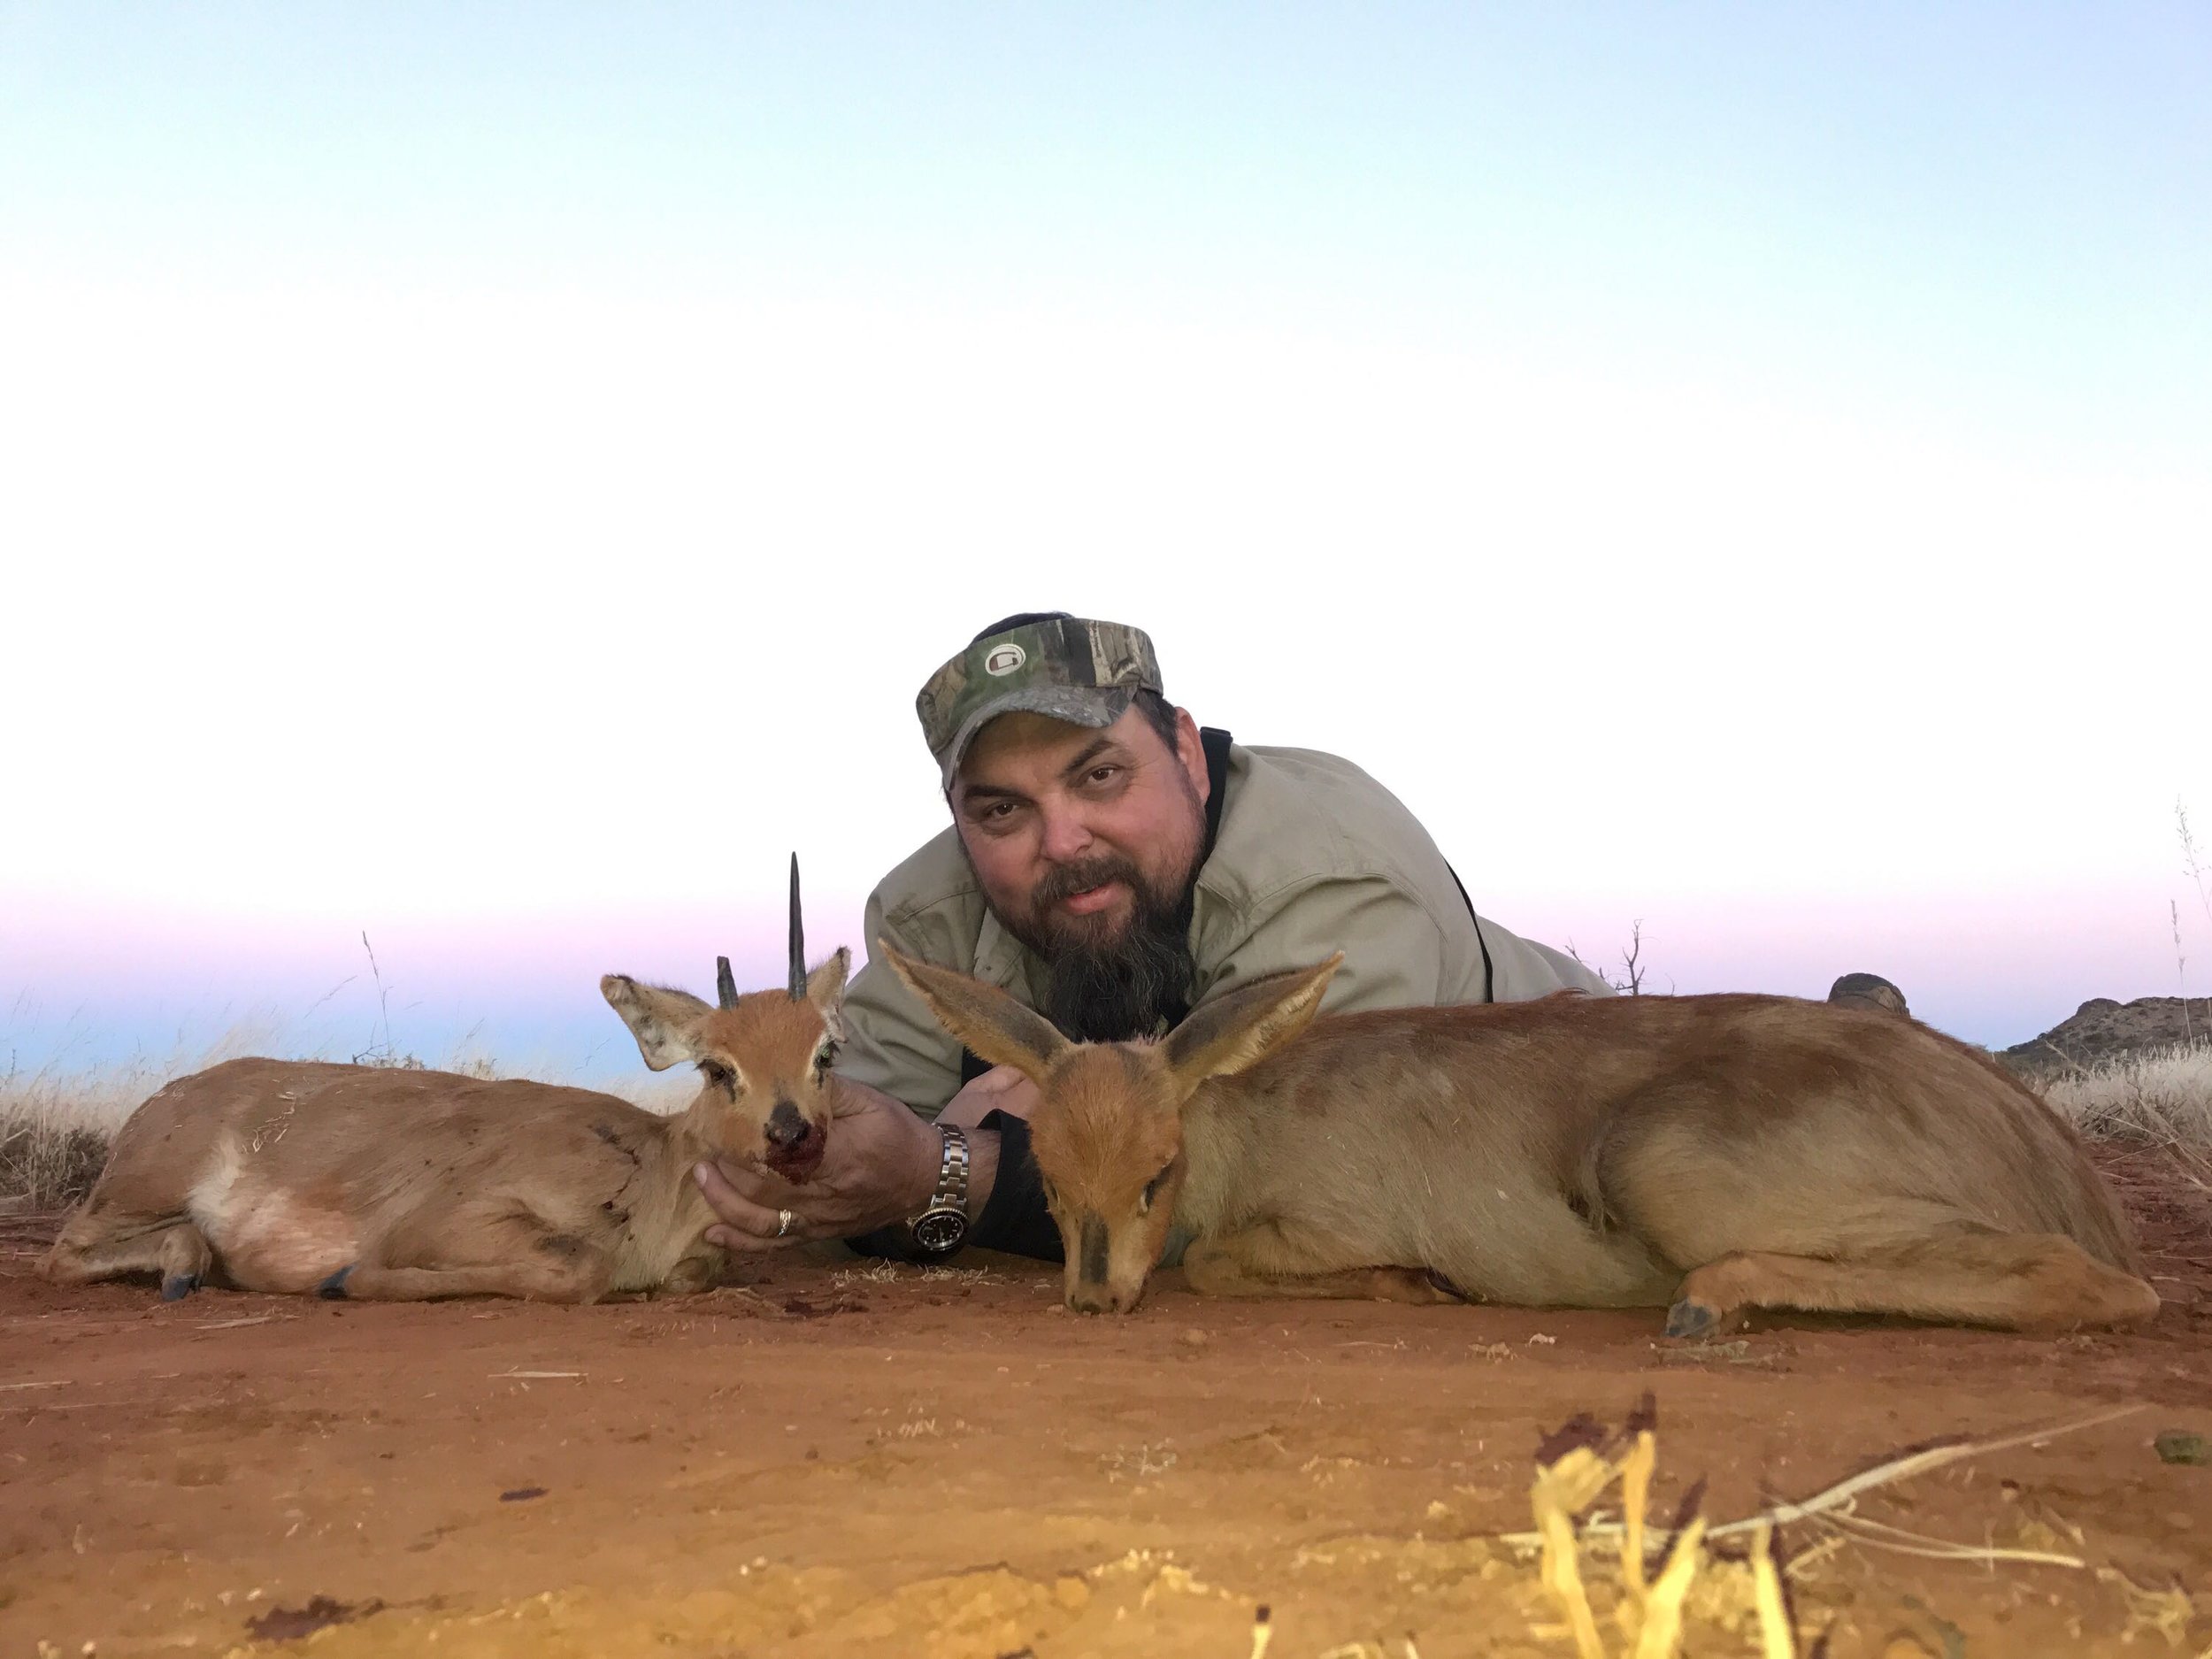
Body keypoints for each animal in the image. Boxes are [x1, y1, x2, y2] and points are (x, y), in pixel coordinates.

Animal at [51, 863, 849, 1310]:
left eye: (825, 1052)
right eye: (718, 1067)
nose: (792, 1133)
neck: (652, 1176)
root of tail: (161, 1101)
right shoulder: (446, 1219)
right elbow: (579, 1264)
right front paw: (339, 1278)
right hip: (138, 1190)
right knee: (64, 1248)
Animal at [885, 947, 2159, 1336]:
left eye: (1155, 1175)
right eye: (1049, 1180)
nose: (1094, 1296)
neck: (1240, 1124)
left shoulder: (1311, 1225)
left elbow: (1218, 1263)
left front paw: (1423, 1282)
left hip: (1662, 1168)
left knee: (2096, 1283)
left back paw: (1705, 1304)